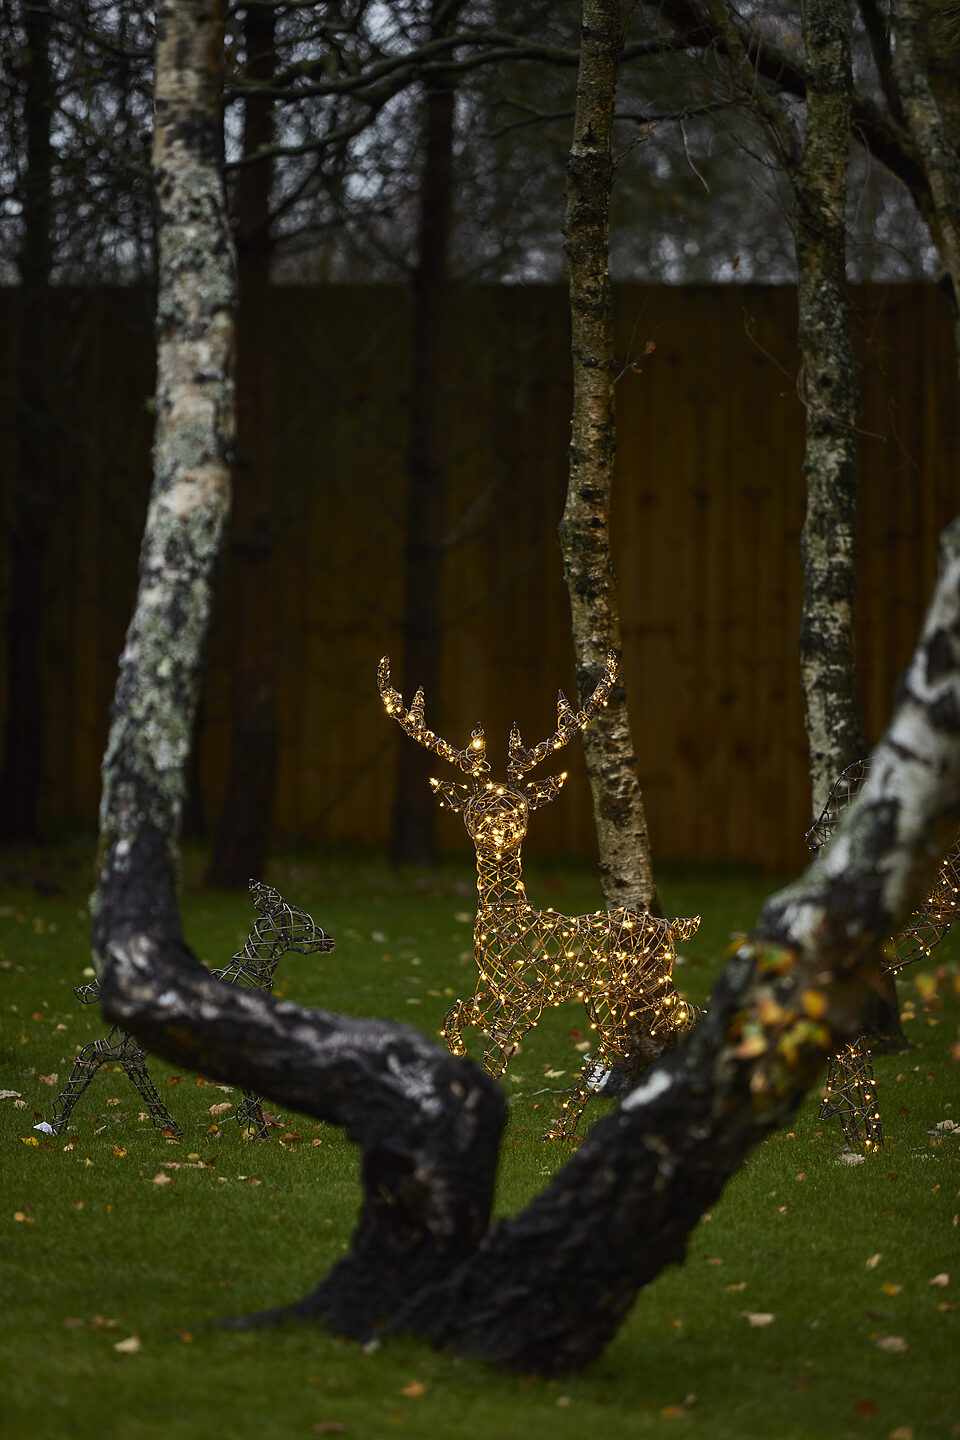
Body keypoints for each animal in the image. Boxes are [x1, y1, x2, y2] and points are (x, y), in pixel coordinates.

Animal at [378, 652, 700, 1140]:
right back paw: (566, 1126)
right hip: (614, 992)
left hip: (641, 984)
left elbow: (495, 1055)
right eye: (477, 805)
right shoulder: (492, 989)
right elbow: (454, 1016)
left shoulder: (525, 997)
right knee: (630, 1038)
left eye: (520, 806)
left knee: (673, 1020)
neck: (507, 915)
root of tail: (672, 924)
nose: (500, 825)